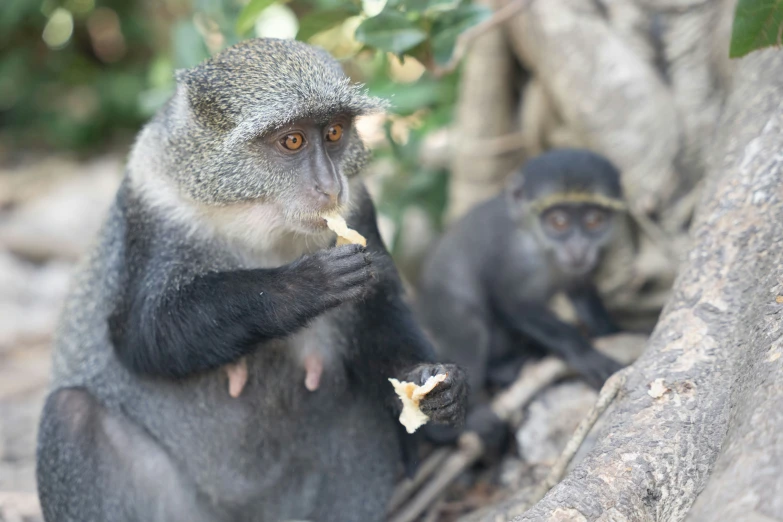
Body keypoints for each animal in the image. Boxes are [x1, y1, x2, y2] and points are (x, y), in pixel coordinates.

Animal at [35, 37, 466, 520]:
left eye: (335, 133)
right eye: (292, 139)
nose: (331, 187)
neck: (258, 220)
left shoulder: (359, 211)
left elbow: (381, 321)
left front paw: (439, 386)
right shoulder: (154, 207)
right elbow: (142, 334)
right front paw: (301, 287)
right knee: (72, 415)